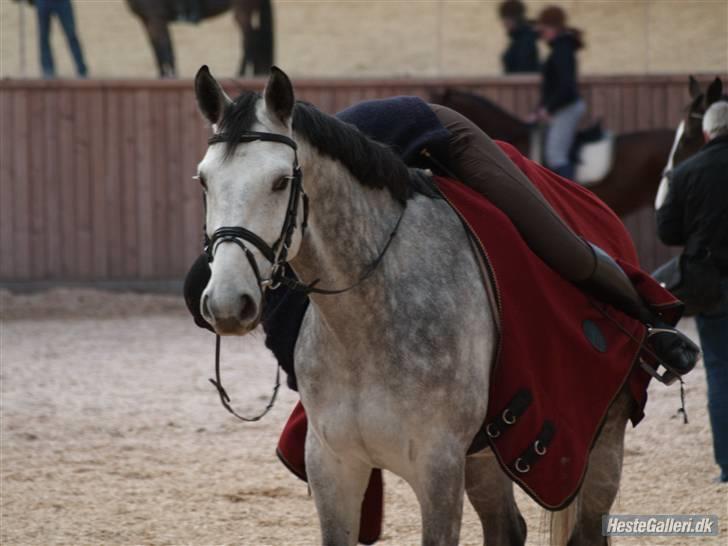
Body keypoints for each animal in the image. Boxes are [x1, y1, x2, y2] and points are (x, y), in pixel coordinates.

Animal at [125, 0, 272, 77]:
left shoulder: (156, 18)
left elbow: (165, 49)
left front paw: (171, 76)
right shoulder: (146, 20)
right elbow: (158, 50)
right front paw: (162, 76)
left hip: (242, 10)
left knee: (249, 40)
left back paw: (239, 73)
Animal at [193, 67, 632, 544]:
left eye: (280, 181)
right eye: (204, 181)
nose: (227, 303)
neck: (366, 322)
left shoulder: (438, 469)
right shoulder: (333, 465)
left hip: (604, 443)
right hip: (484, 459)